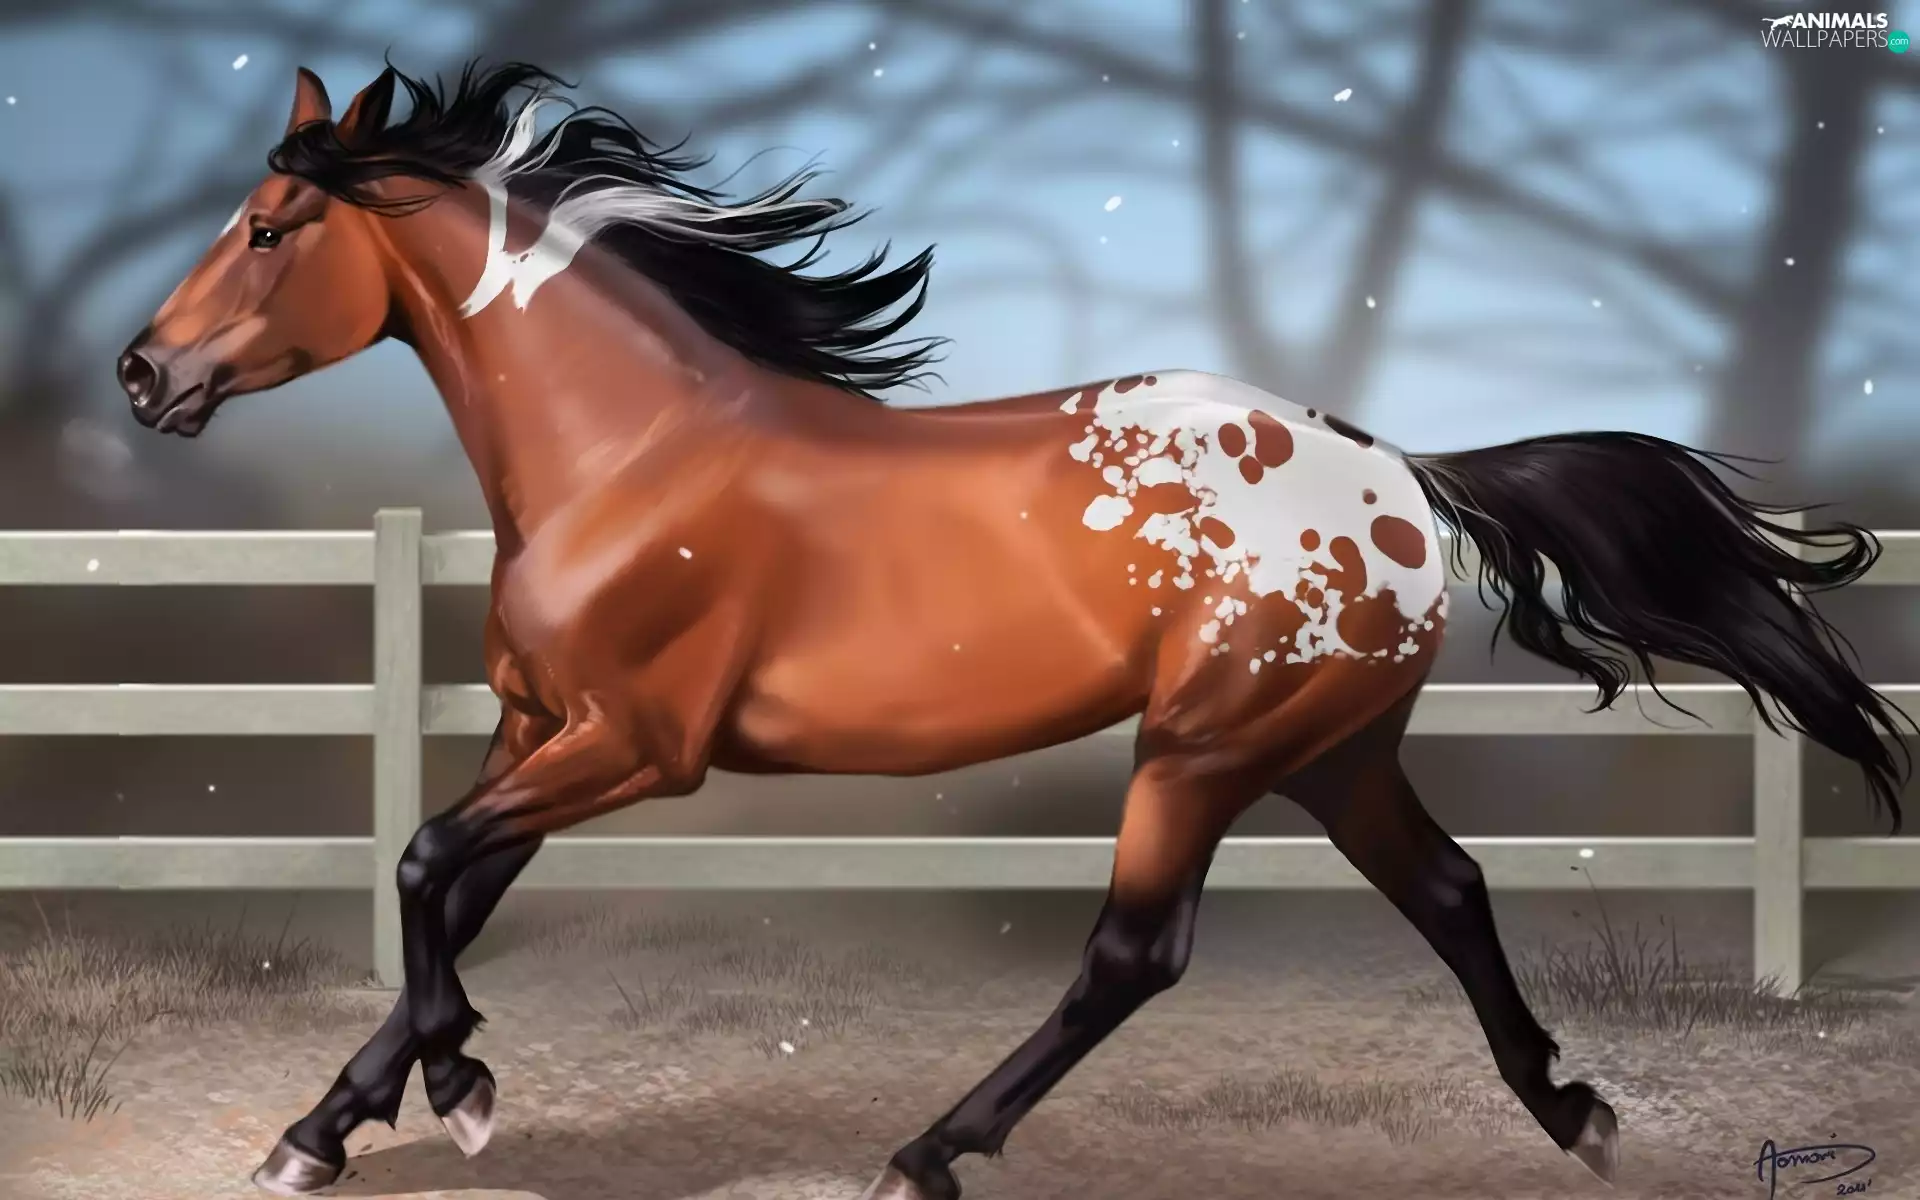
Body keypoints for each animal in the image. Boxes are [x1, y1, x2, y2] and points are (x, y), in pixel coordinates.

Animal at [119, 61, 1910, 1200]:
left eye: (269, 231)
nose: (144, 375)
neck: (632, 456)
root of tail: (1398, 466)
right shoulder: (535, 729)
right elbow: (449, 890)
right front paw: (324, 1129)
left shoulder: (637, 746)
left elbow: (427, 867)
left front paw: (464, 1094)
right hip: (1331, 750)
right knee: (1452, 891)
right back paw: (1578, 1113)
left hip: (1205, 746)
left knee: (1137, 954)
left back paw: (929, 1154)